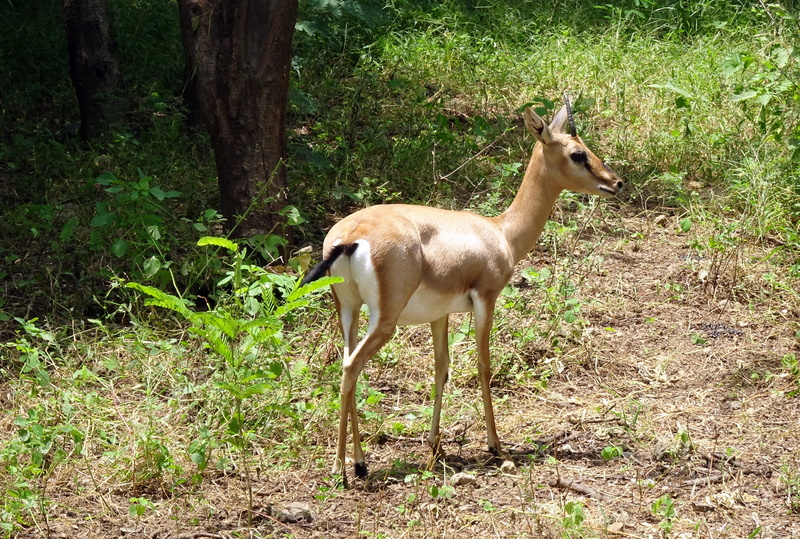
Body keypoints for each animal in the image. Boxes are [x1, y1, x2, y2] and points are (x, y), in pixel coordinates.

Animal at [301, 96, 623, 487]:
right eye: (578, 154)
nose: (616, 182)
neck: (501, 233)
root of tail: (351, 236)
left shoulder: (439, 315)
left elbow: (441, 368)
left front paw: (434, 447)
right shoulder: (486, 299)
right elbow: (484, 366)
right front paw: (496, 447)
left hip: (347, 309)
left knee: (347, 365)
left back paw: (359, 464)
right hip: (384, 320)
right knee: (351, 366)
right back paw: (340, 470)